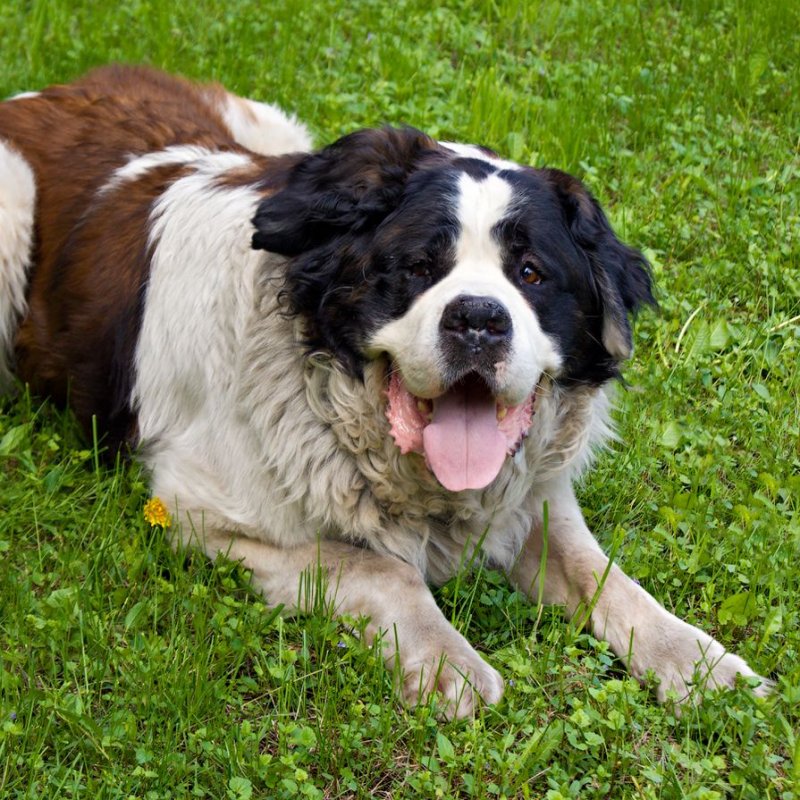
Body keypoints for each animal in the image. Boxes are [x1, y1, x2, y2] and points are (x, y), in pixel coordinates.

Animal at [0, 67, 768, 720]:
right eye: (417, 266)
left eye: (531, 273)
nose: (479, 319)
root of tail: (45, 94)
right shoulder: (201, 514)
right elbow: (382, 568)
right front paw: (449, 663)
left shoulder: (534, 498)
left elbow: (602, 574)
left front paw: (699, 662)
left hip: (278, 132)